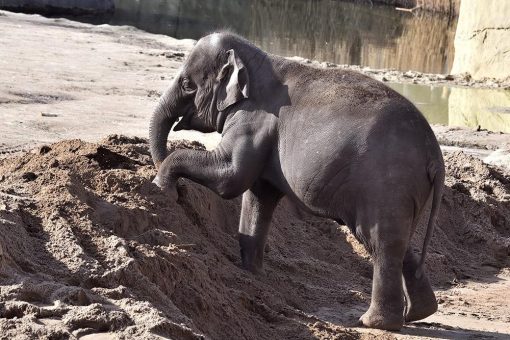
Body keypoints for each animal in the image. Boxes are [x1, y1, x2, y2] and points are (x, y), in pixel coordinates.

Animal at [147, 32, 442, 332]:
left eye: (187, 84)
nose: (176, 192)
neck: (256, 58)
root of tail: (434, 152)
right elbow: (259, 196)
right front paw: (251, 273)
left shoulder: (252, 120)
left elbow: (231, 178)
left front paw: (160, 186)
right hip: (406, 191)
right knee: (398, 241)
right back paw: (420, 313)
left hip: (387, 185)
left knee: (379, 241)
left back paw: (375, 323)